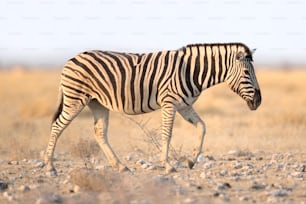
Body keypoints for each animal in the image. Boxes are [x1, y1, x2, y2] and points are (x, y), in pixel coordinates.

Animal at [44, 41, 262, 175]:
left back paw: (121, 167)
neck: (191, 71)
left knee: (99, 133)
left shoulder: (184, 105)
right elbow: (167, 133)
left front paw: (191, 161)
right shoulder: (169, 102)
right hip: (75, 99)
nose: (258, 101)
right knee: (57, 126)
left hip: (97, 103)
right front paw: (168, 165)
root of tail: (70, 59)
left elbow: (202, 127)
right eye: (246, 73)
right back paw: (50, 167)